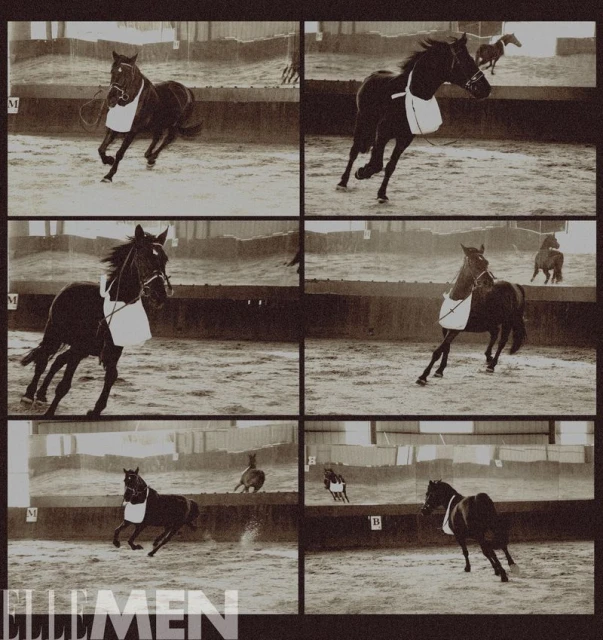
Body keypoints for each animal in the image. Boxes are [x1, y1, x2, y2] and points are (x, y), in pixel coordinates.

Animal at [20, 224, 171, 417]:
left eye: (164, 259)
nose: (159, 295)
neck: (107, 310)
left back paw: (41, 395)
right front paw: (50, 413)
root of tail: (66, 287)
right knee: (43, 359)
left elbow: (112, 376)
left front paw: (96, 409)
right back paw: (29, 394)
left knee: (57, 360)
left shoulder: (111, 352)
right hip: (54, 335)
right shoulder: (78, 350)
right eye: (142, 257)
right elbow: (63, 385)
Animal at [98, 52, 202, 183]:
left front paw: (109, 175)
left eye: (128, 74)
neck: (130, 101)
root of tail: (186, 90)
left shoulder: (132, 131)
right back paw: (148, 156)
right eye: (112, 71)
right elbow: (101, 149)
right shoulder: (115, 127)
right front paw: (109, 160)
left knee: (168, 139)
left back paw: (152, 158)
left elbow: (119, 153)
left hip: (173, 124)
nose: (111, 98)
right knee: (157, 138)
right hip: (158, 124)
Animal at [337, 34, 491, 204]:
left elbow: (390, 166)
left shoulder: (405, 138)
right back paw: (342, 182)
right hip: (363, 122)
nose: (486, 89)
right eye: (466, 60)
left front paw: (382, 194)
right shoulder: (383, 132)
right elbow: (377, 163)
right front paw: (362, 172)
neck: (407, 98)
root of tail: (369, 77)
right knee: (354, 151)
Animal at [416, 244, 527, 385]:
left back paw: (492, 365)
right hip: (490, 322)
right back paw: (488, 357)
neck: (458, 300)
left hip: (508, 321)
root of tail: (515, 286)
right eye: (474, 263)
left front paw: (423, 376)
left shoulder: (455, 330)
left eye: (486, 262)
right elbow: (446, 348)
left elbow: (438, 351)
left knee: (502, 341)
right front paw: (439, 370)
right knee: (494, 334)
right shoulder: (447, 328)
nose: (488, 282)